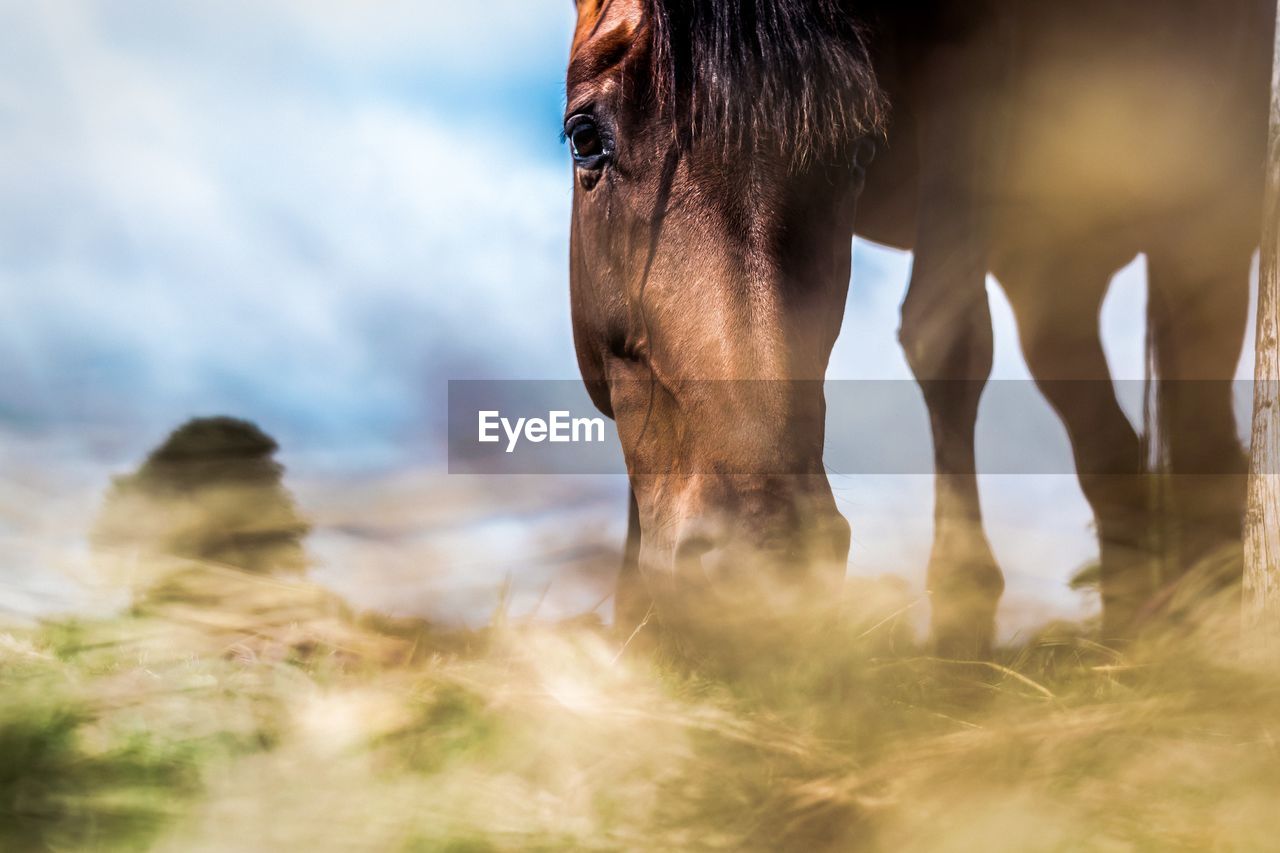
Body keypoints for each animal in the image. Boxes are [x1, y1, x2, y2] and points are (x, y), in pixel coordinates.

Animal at [565, 0, 1274, 653]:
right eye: (584, 137)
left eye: (860, 154)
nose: (758, 556)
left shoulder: (971, 65)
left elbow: (945, 335)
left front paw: (961, 634)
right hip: (1051, 266)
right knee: (1114, 451)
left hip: (1202, 218)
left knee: (1202, 440)